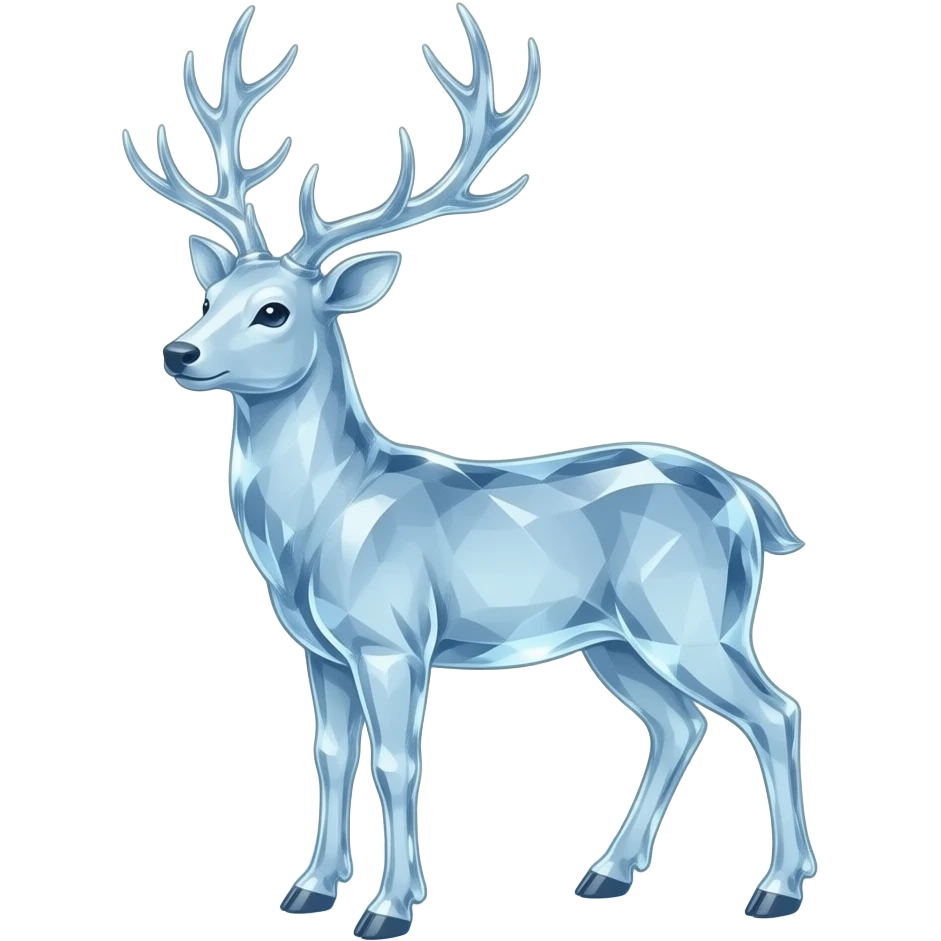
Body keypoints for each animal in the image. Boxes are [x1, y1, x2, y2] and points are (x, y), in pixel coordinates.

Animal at [122, 4, 816, 937]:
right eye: (210, 295)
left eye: (273, 311)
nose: (180, 350)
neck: (318, 525)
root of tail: (747, 499)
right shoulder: (318, 648)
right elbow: (328, 754)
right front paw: (308, 890)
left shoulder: (392, 635)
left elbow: (395, 761)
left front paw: (388, 908)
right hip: (618, 639)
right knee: (678, 724)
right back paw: (606, 873)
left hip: (693, 616)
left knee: (775, 711)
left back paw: (775, 889)